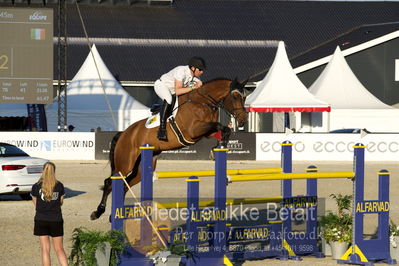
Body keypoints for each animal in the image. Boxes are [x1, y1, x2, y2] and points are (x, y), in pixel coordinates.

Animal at [90, 77, 247, 220]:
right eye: (235, 96)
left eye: (244, 97)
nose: (243, 121)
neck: (202, 102)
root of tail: (124, 133)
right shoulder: (194, 130)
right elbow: (220, 126)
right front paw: (217, 148)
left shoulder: (205, 131)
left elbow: (224, 129)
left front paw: (219, 147)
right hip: (125, 163)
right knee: (109, 182)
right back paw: (98, 212)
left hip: (141, 168)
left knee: (124, 185)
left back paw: (116, 215)